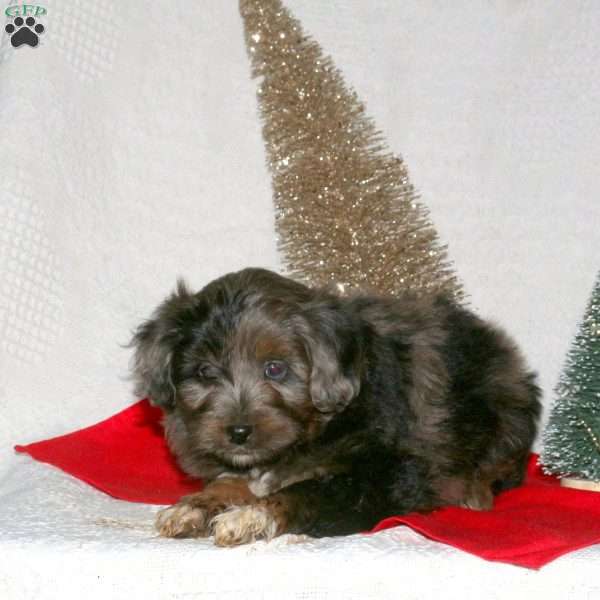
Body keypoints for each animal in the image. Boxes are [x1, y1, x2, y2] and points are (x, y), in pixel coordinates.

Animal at [132, 270, 544, 548]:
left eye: (275, 369)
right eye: (204, 372)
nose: (238, 433)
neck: (317, 426)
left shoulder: (387, 475)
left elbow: (307, 492)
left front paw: (254, 515)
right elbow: (230, 481)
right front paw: (194, 505)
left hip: (508, 411)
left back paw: (476, 491)